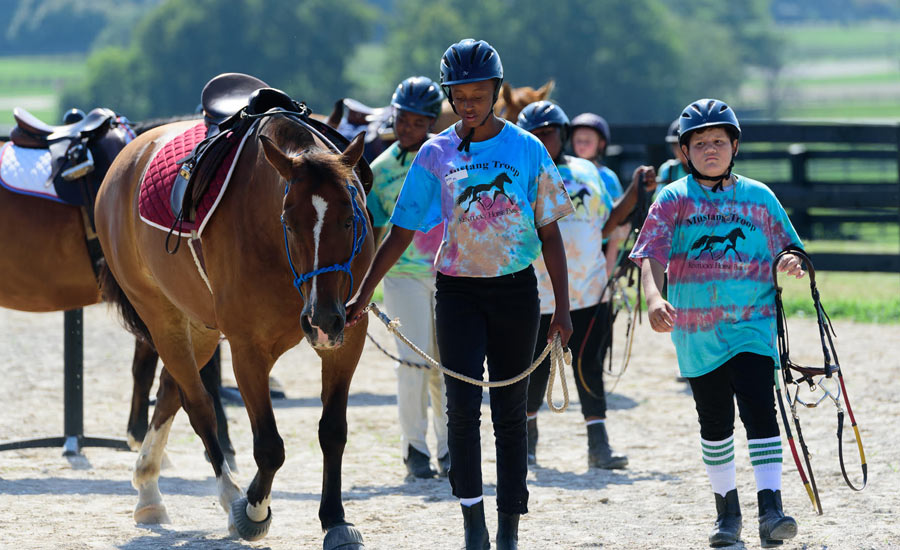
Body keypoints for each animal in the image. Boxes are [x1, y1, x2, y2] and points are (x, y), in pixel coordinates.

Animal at [98, 108, 376, 548]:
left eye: (350, 219)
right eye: (288, 222)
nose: (322, 319)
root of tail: (131, 151)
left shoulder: (347, 339)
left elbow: (333, 431)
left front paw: (334, 519)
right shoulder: (248, 350)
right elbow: (269, 446)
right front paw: (254, 510)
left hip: (202, 328)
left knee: (170, 391)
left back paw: (148, 491)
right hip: (162, 317)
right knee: (198, 406)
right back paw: (228, 497)